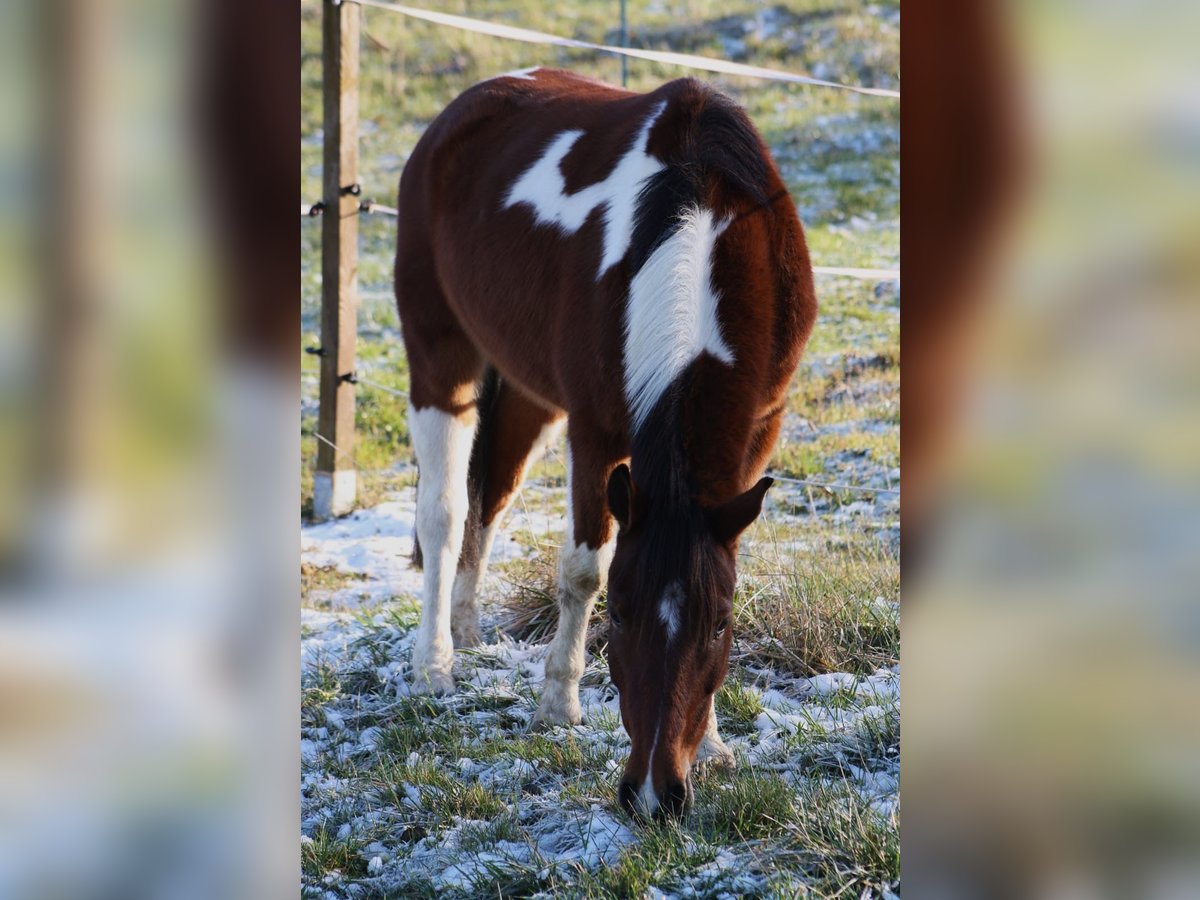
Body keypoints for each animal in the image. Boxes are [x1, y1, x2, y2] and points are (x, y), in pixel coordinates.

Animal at [393, 66, 816, 820]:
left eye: (718, 624)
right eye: (619, 615)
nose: (653, 795)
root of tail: (463, 111)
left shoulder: (761, 430)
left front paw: (714, 744)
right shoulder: (594, 433)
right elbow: (582, 570)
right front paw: (558, 704)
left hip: (525, 390)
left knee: (491, 496)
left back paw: (467, 626)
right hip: (441, 361)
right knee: (443, 514)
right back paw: (435, 663)